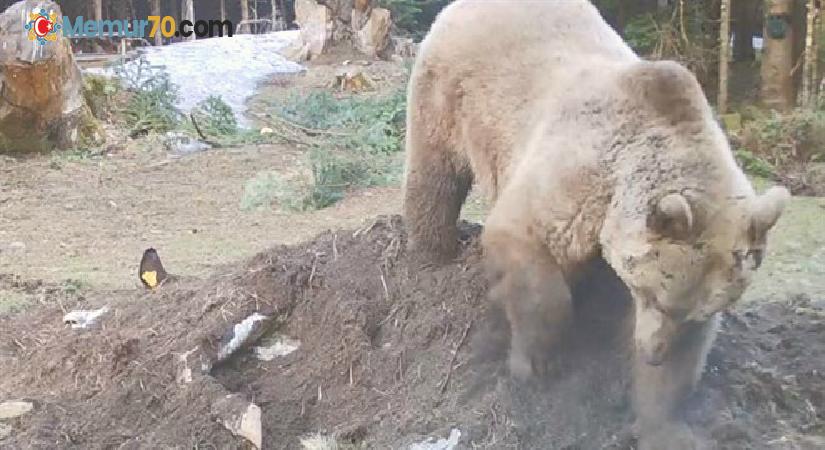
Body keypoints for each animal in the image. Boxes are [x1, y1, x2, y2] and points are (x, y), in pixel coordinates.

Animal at [402, 0, 788, 446]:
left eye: (691, 312)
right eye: (655, 296)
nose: (653, 353)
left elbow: (684, 363)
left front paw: (664, 424)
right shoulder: (578, 177)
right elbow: (527, 247)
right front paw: (535, 363)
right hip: (451, 90)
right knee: (436, 172)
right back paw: (433, 249)